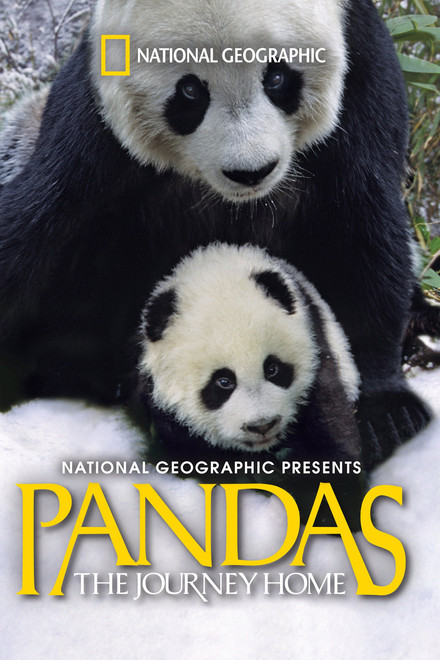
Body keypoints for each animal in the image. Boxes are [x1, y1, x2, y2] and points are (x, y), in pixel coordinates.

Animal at [0, 0, 431, 468]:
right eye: (190, 91)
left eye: (276, 76)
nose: (251, 172)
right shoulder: (95, 117)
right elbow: (40, 223)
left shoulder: (363, 76)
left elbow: (363, 229)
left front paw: (388, 412)